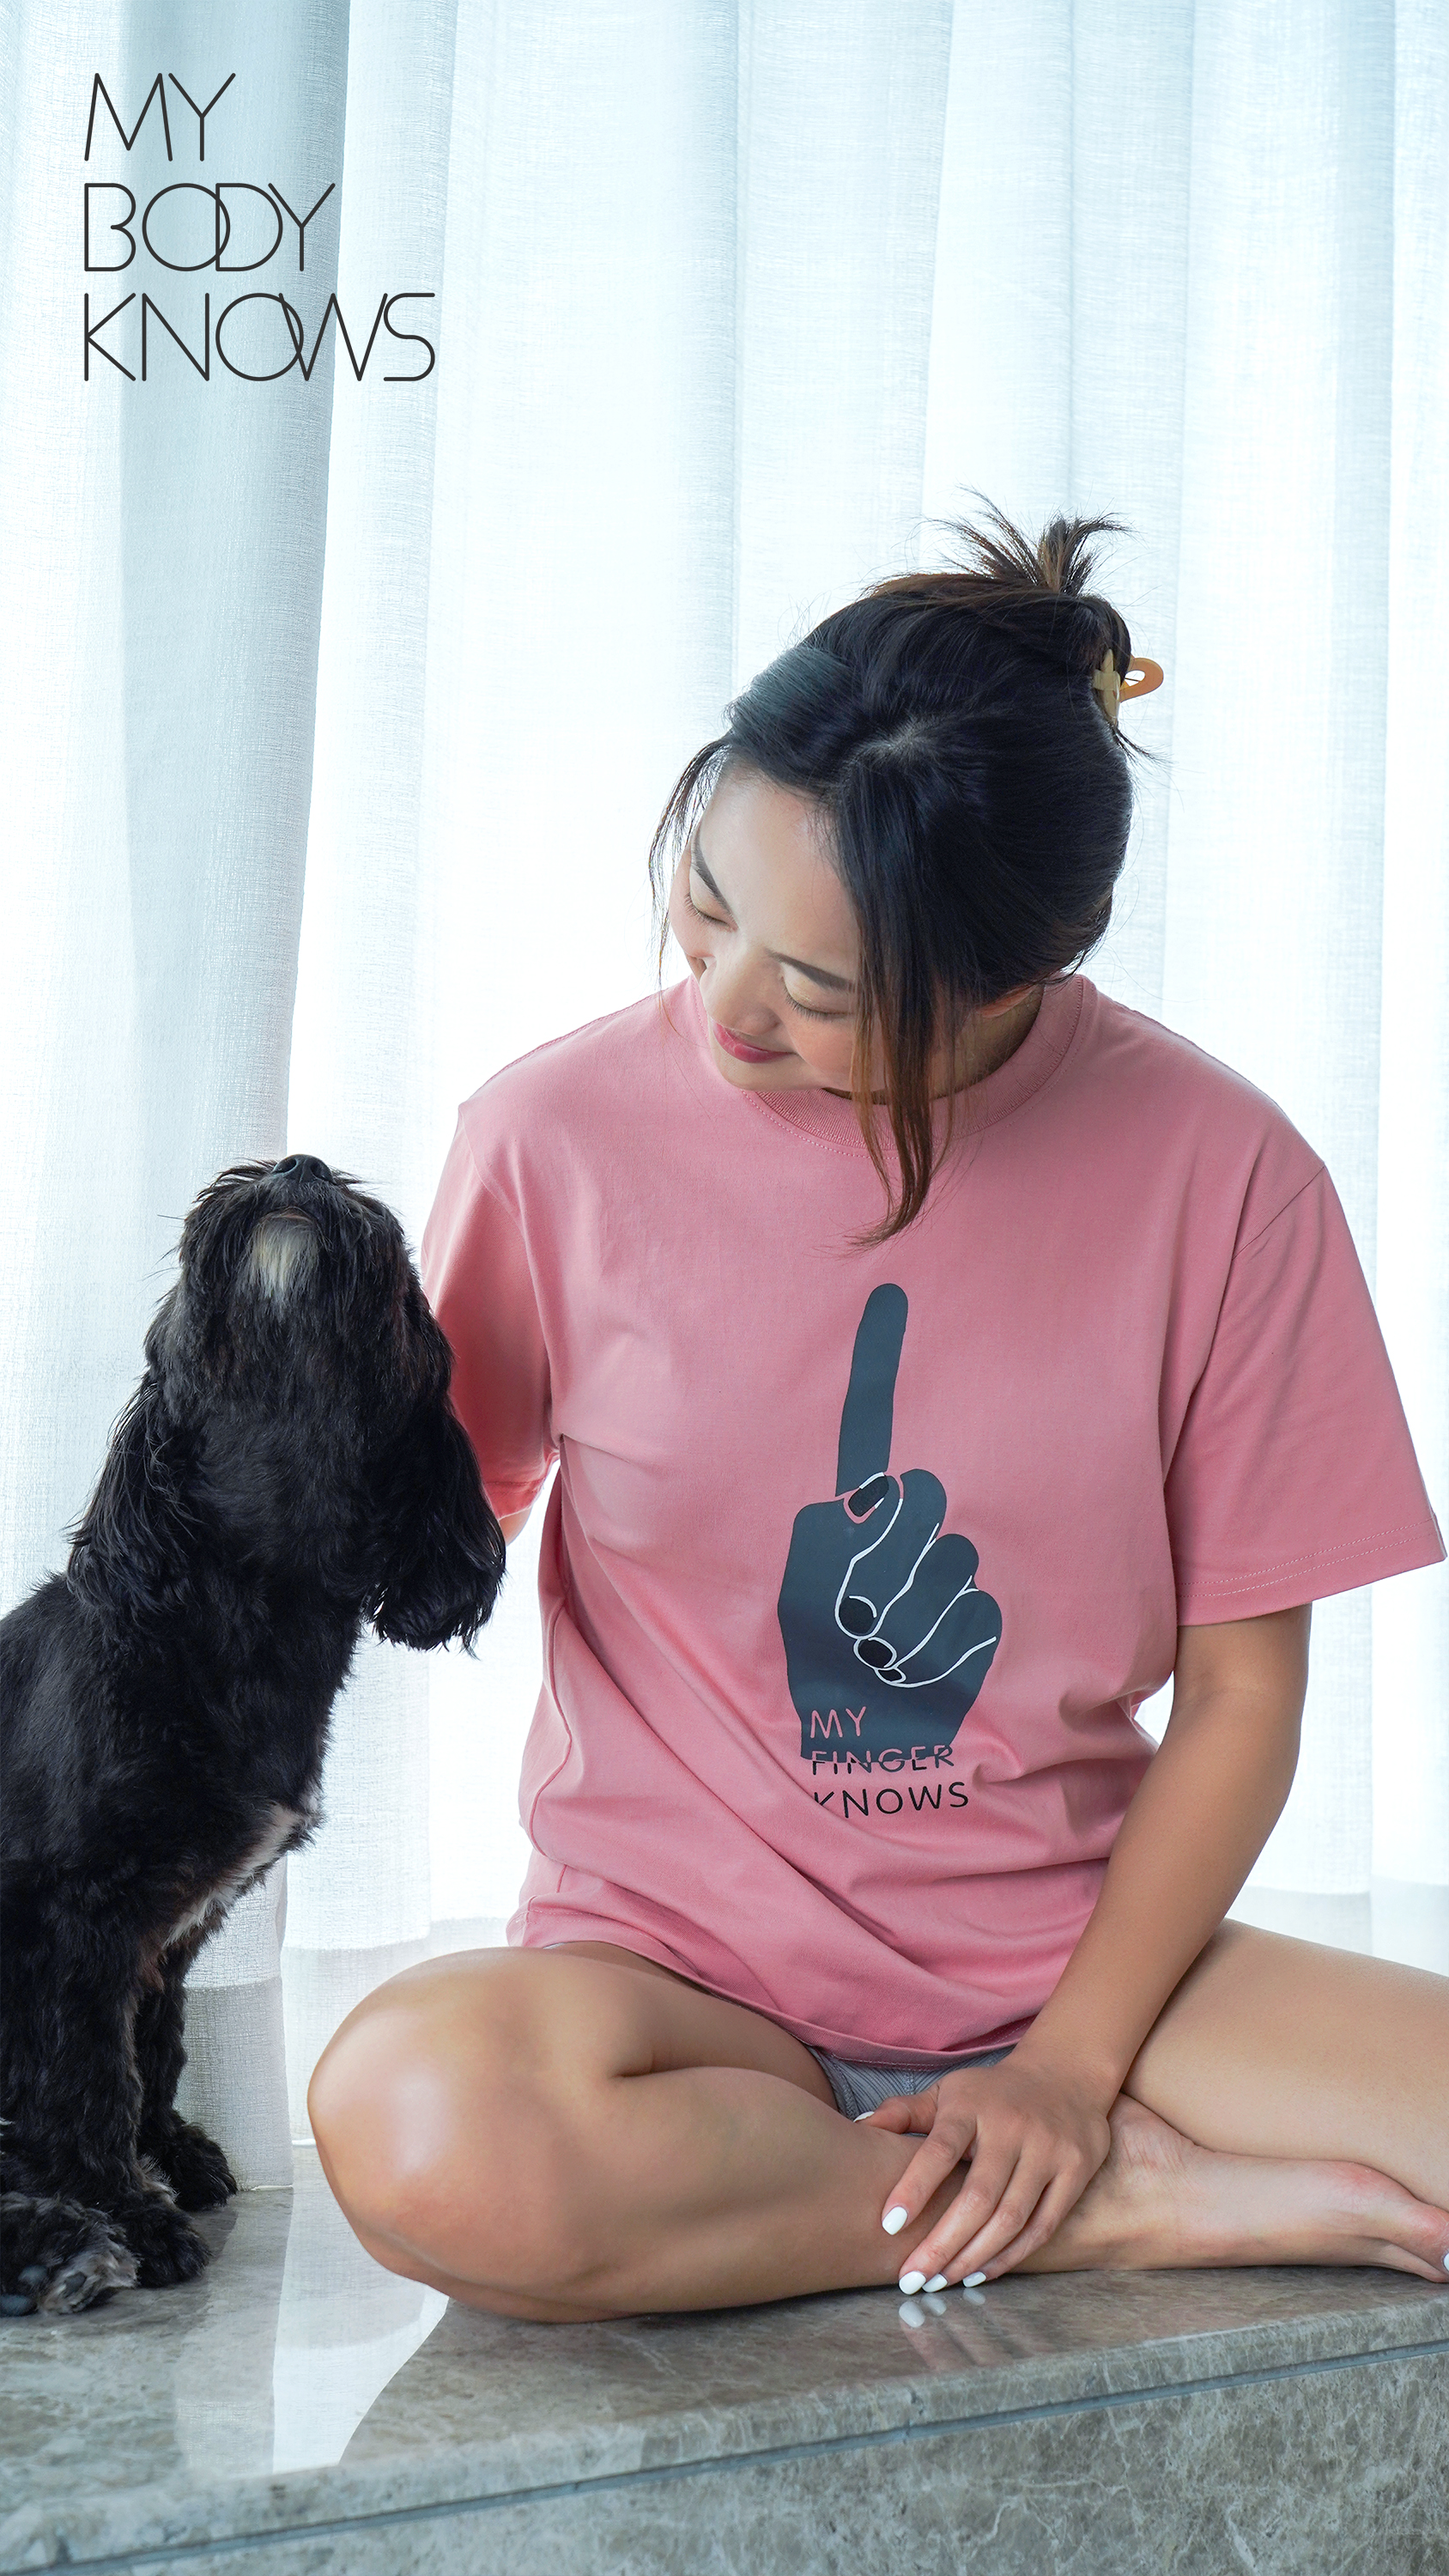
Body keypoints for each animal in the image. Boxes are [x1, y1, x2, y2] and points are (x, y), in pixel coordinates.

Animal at [0, 1154, 505, 2316]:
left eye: (404, 1282)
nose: (296, 1164)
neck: (237, 1603)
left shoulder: (168, 1933)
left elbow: (154, 2053)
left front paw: (171, 2156)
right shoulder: (69, 1919)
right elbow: (85, 2082)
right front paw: (131, 2210)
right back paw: (59, 2244)